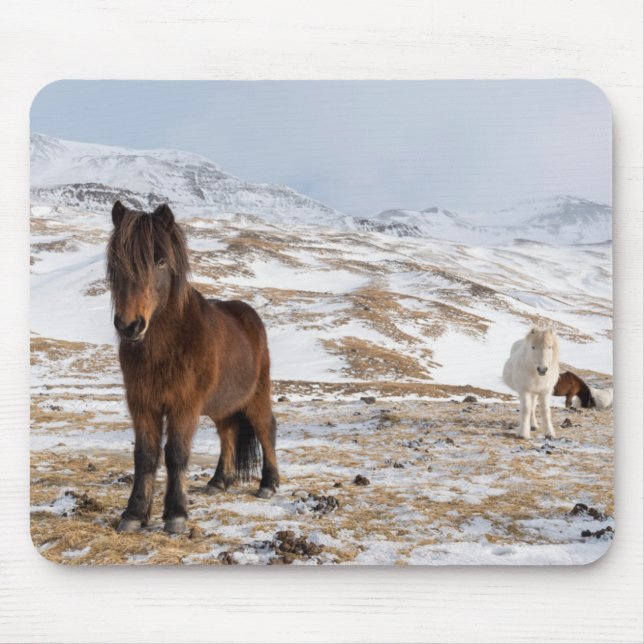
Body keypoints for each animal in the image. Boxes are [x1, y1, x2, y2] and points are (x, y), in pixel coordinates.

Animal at [106, 201, 280, 534]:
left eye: (160, 261)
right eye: (116, 261)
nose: (130, 326)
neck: (164, 346)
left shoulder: (183, 405)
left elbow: (176, 454)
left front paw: (175, 515)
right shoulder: (142, 404)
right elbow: (144, 456)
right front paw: (134, 514)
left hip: (256, 395)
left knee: (267, 429)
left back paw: (269, 484)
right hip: (223, 405)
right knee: (228, 433)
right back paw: (218, 482)